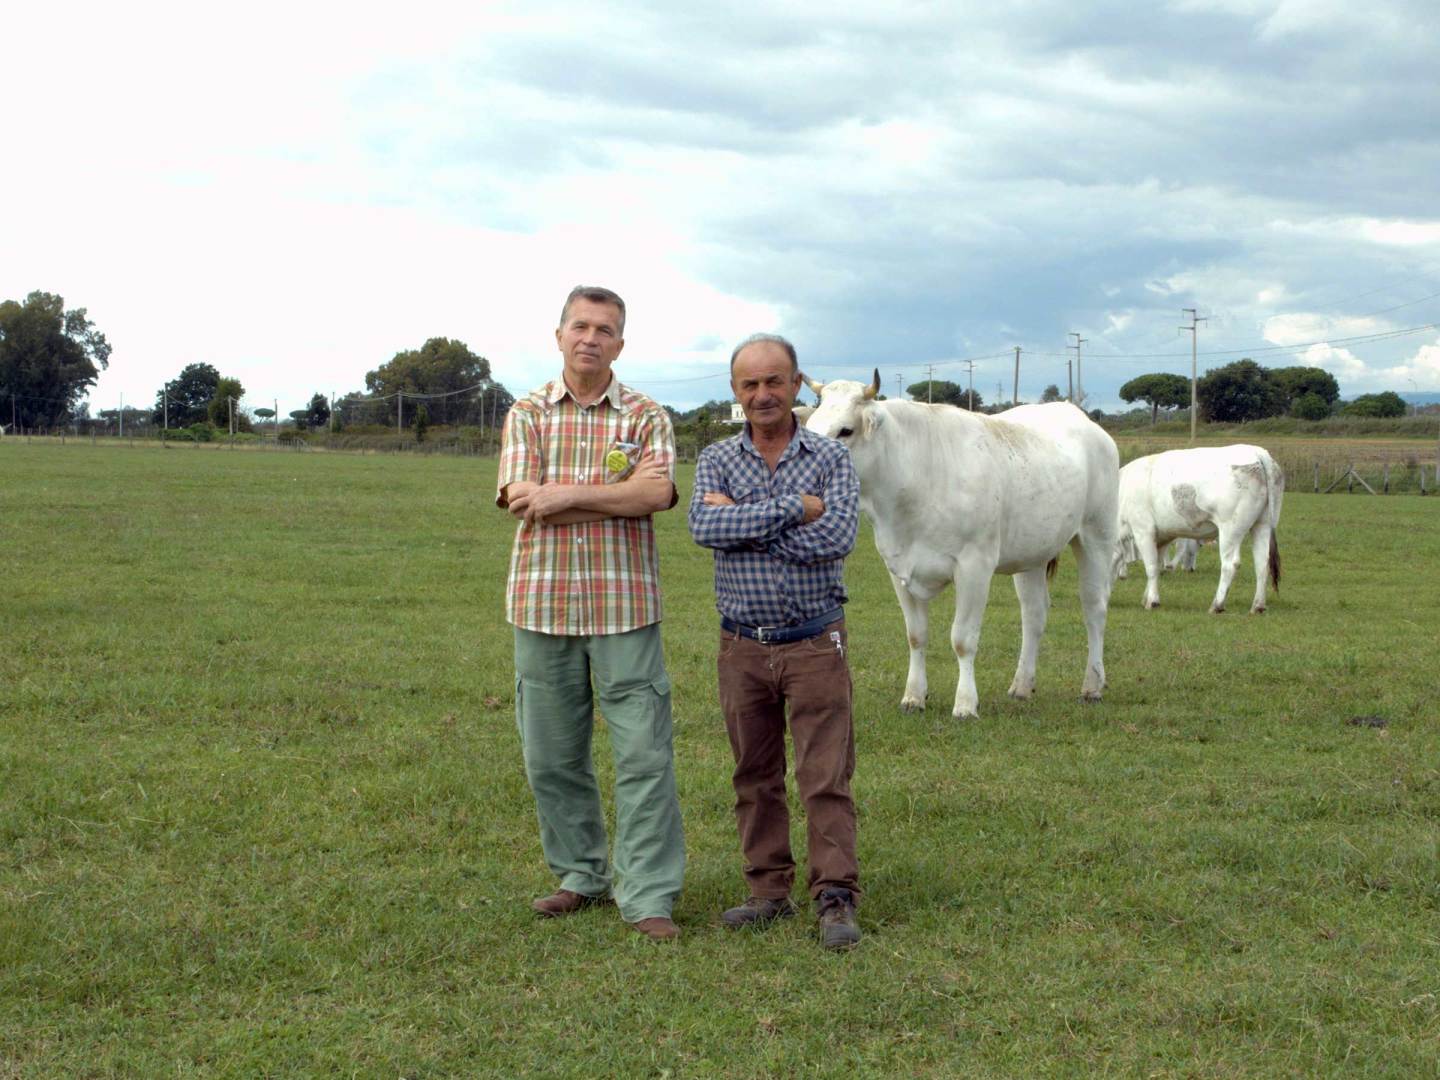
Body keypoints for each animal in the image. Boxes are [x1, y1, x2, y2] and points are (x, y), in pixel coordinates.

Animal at [806, 371, 1117, 720]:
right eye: (810, 427)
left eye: (845, 430)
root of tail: (1077, 415)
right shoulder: (898, 568)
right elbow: (916, 636)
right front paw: (914, 696)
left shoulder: (974, 567)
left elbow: (963, 639)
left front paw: (966, 703)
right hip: (1032, 552)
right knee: (1034, 613)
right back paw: (1022, 685)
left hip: (1096, 534)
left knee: (1094, 607)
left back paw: (1092, 685)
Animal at [1111, 443, 1284, 613]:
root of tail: (1257, 452)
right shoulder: (1161, 538)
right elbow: (1157, 565)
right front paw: (1148, 596)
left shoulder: (1143, 531)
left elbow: (1152, 567)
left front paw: (1152, 601)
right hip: (1262, 525)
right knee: (1262, 563)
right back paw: (1258, 606)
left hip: (1230, 530)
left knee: (1230, 565)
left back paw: (1217, 605)